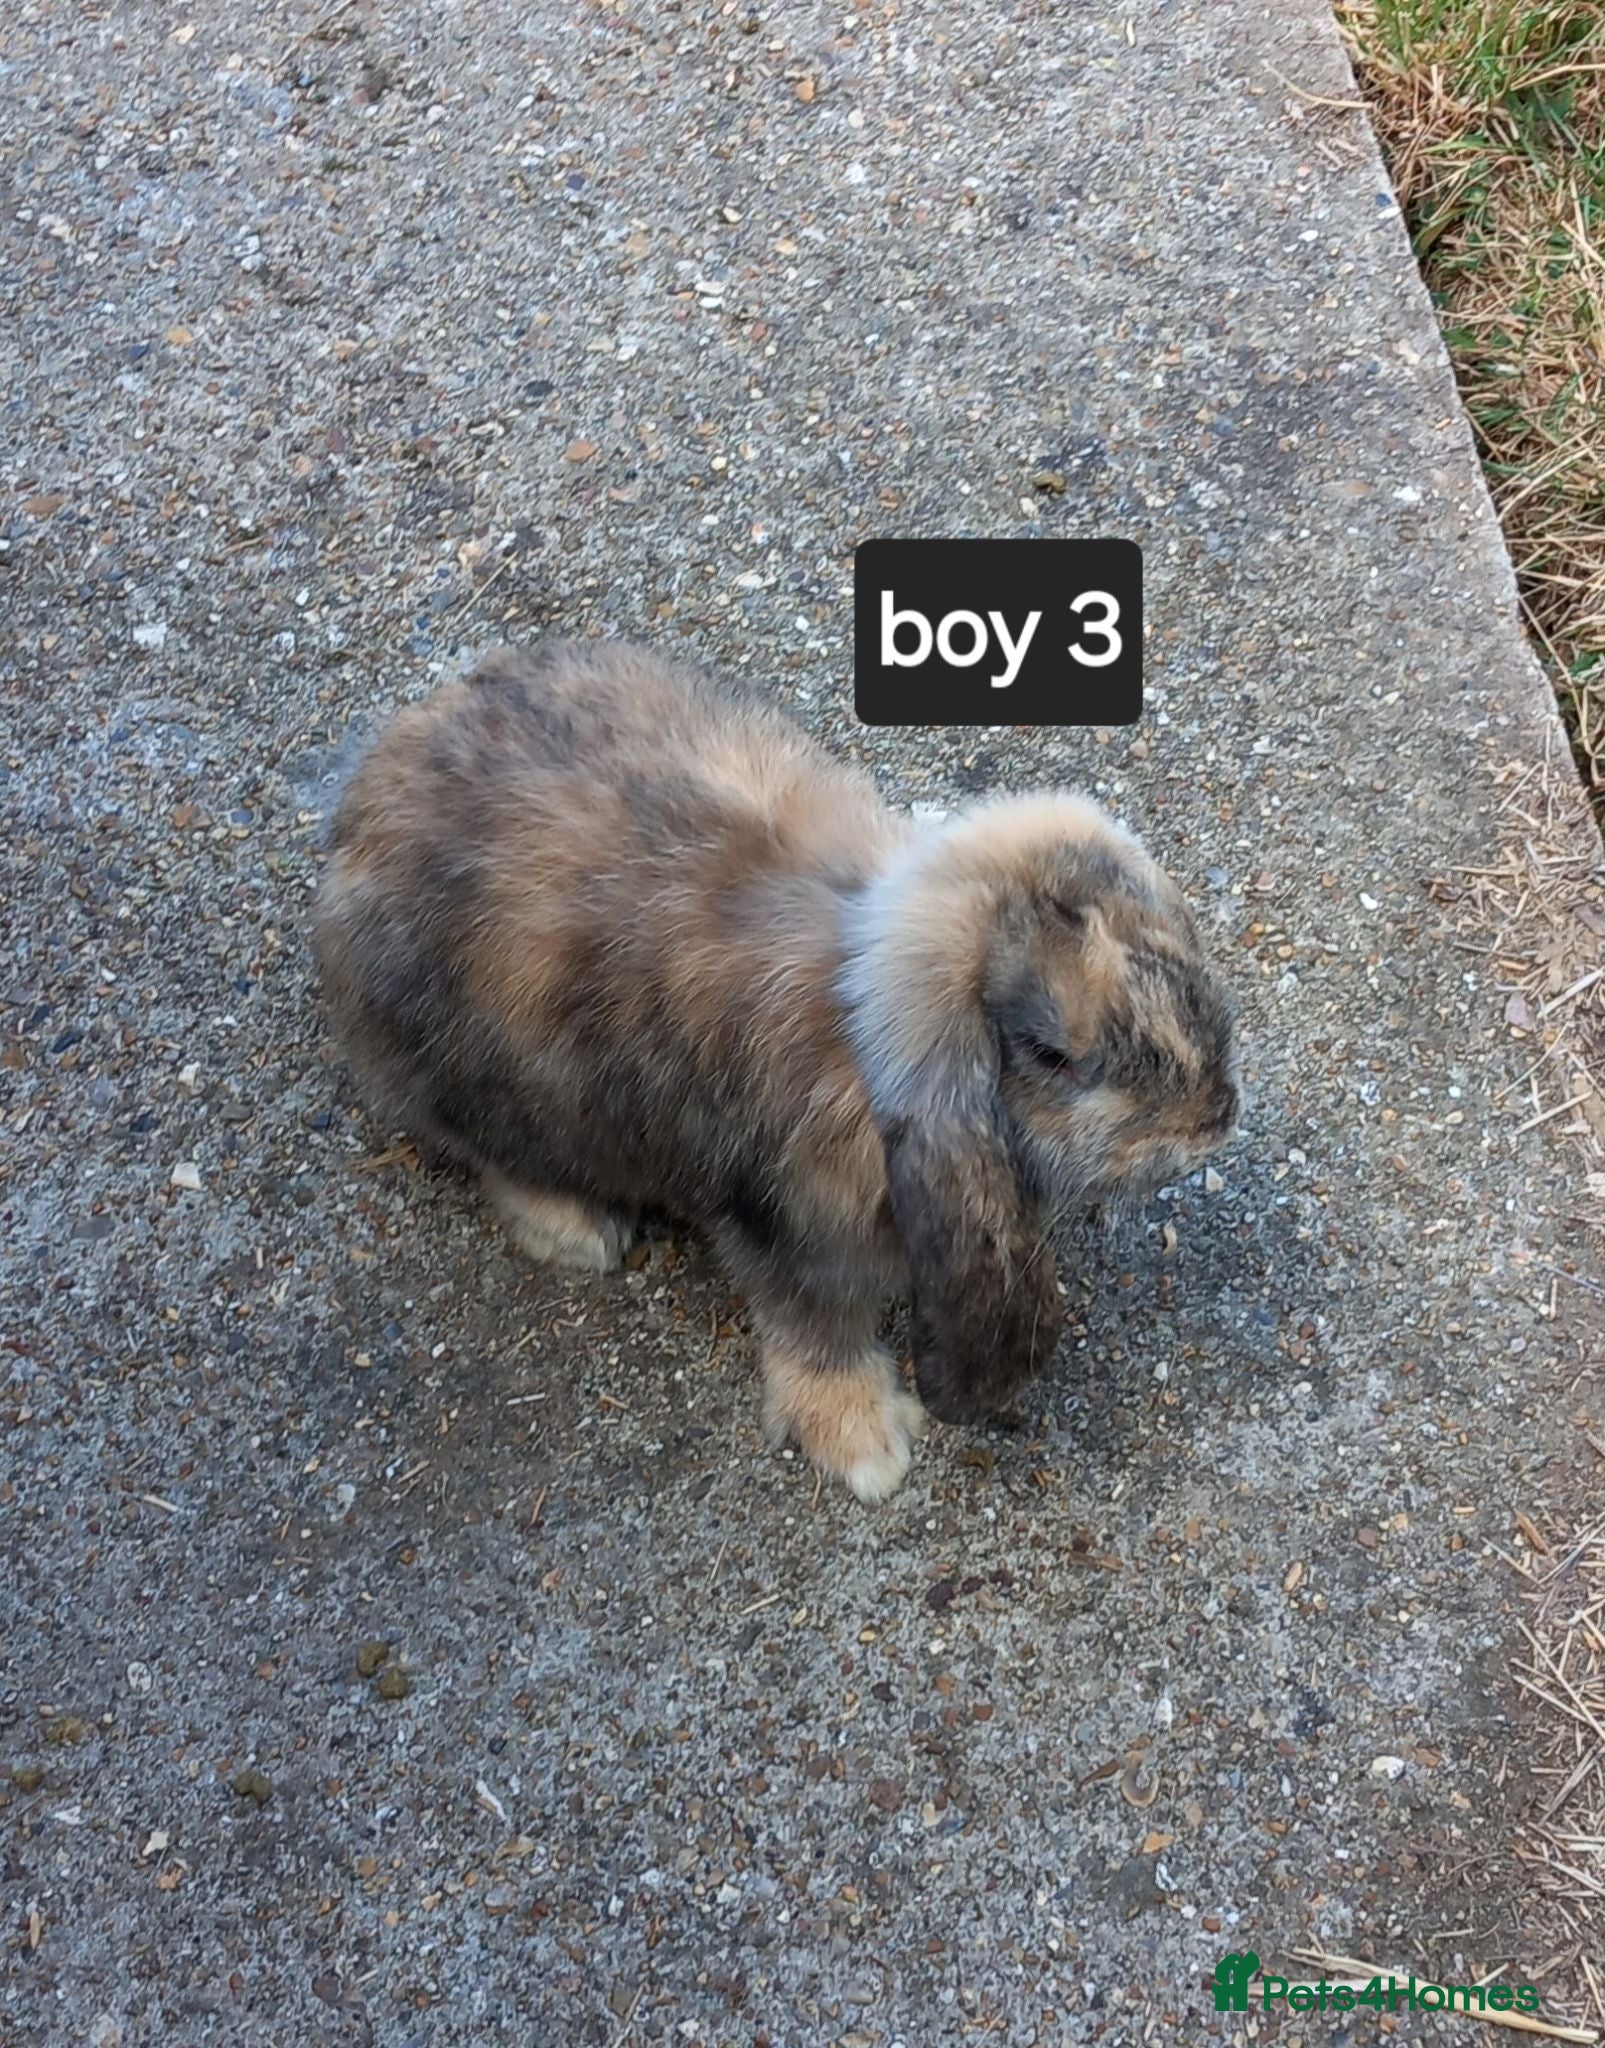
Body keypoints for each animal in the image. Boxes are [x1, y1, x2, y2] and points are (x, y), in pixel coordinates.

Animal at [314, 641, 1238, 1501]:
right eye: (1051, 1054)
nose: (1215, 1121)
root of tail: (358, 816)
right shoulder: (789, 1239)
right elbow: (816, 1341)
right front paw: (869, 1450)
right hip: (472, 1082)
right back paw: (577, 1232)